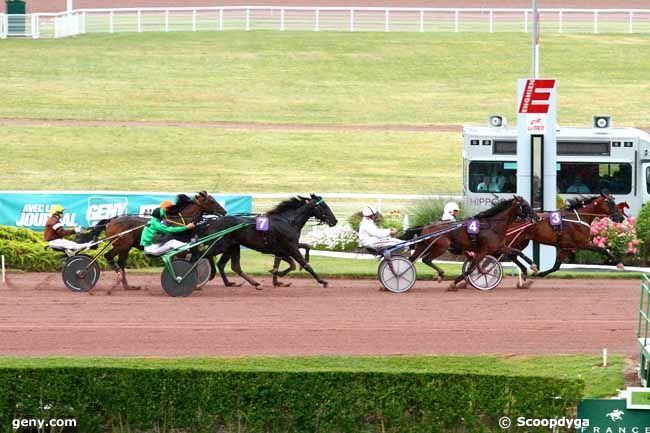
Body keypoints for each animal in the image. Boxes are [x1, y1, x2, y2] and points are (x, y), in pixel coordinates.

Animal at [79, 190, 225, 288]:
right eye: (211, 201)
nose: (224, 212)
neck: (180, 222)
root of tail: (111, 221)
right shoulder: (181, 247)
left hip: (125, 247)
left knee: (121, 262)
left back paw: (127, 285)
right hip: (122, 244)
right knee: (109, 256)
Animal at [197, 194, 336, 288]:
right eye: (323, 206)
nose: (335, 221)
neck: (288, 221)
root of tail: (211, 222)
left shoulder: (286, 248)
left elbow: (304, 249)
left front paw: (277, 276)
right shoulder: (290, 247)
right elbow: (302, 264)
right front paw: (323, 281)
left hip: (232, 246)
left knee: (228, 265)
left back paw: (237, 283)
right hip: (220, 245)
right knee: (205, 254)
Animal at [404, 196, 536, 290]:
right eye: (525, 205)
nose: (537, 217)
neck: (492, 226)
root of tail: (426, 226)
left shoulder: (499, 247)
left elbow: (518, 252)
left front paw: (530, 268)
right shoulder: (484, 250)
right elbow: (472, 268)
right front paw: (455, 283)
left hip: (423, 246)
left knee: (412, 259)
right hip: (441, 246)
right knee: (426, 259)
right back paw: (440, 274)